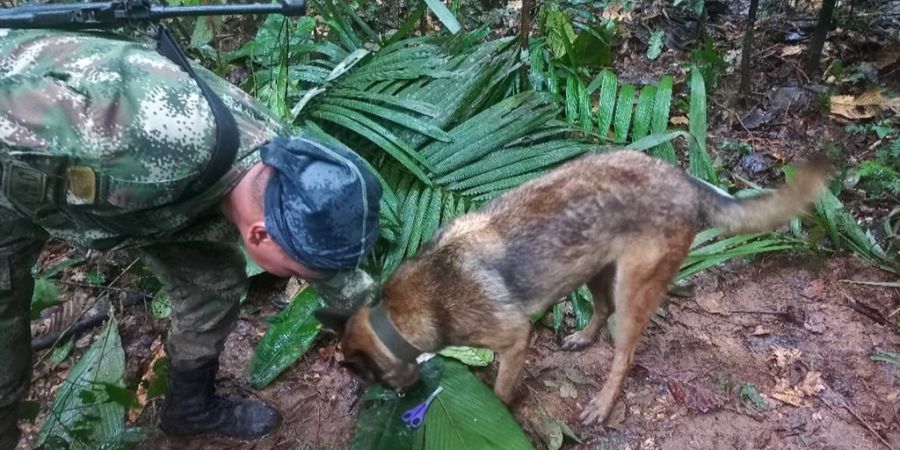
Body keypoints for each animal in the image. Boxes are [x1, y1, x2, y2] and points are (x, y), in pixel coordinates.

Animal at [316, 149, 828, 426]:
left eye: (371, 379)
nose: (402, 400)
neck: (398, 315)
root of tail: (685, 181)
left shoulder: (514, 340)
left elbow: (501, 389)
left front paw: (497, 410)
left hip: (632, 290)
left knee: (624, 354)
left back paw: (602, 404)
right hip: (595, 269)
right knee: (599, 311)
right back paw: (583, 337)